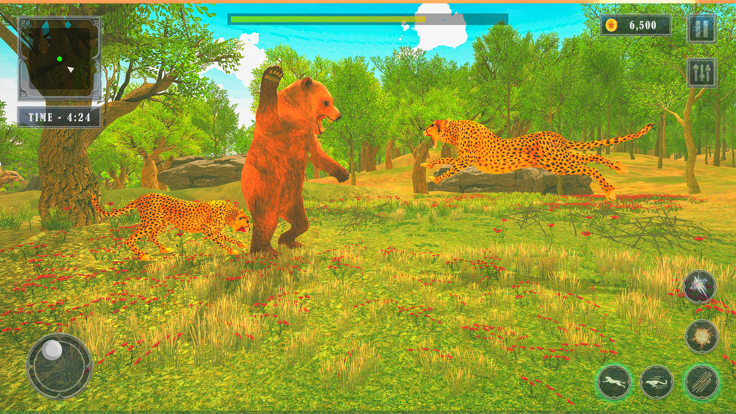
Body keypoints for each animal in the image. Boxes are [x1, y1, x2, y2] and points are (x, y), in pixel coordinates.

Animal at [91, 193, 251, 261]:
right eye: (247, 221)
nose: (250, 228)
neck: (229, 214)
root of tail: (142, 196)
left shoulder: (214, 231)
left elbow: (228, 237)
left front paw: (240, 244)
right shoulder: (208, 230)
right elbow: (223, 241)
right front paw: (232, 251)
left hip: (161, 222)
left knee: (152, 235)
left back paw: (164, 249)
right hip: (149, 222)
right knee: (130, 238)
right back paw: (143, 255)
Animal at [421, 119, 654, 200]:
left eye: (432, 124)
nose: (423, 129)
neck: (454, 130)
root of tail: (557, 136)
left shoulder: (467, 159)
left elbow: (451, 166)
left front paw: (435, 180)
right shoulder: (467, 159)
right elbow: (447, 159)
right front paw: (428, 164)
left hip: (558, 162)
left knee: (587, 166)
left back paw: (610, 191)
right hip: (560, 157)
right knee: (592, 156)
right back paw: (620, 168)